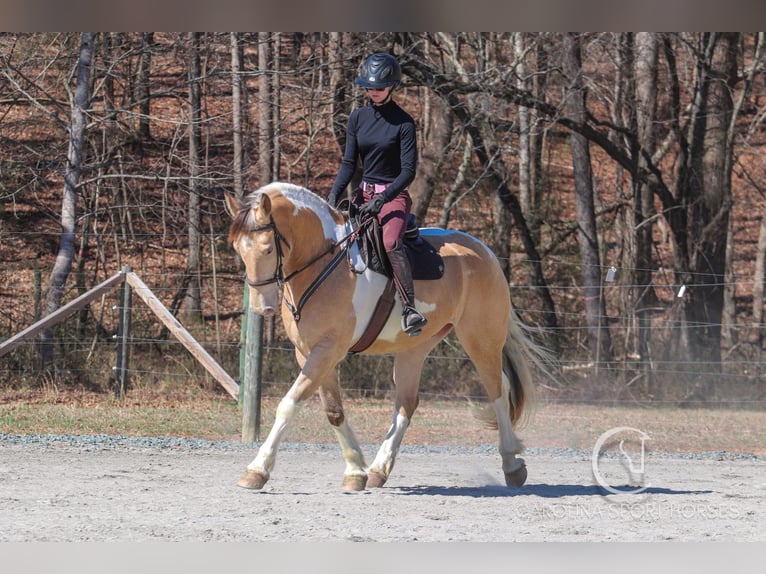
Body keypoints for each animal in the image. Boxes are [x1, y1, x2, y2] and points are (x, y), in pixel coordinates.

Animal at [225, 182, 548, 492]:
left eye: (268, 249)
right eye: (238, 249)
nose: (261, 307)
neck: (325, 263)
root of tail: (484, 250)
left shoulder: (328, 350)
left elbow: (288, 405)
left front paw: (256, 470)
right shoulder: (309, 353)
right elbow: (334, 411)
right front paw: (355, 471)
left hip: (480, 339)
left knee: (497, 390)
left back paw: (512, 464)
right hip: (415, 348)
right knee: (407, 402)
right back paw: (379, 469)